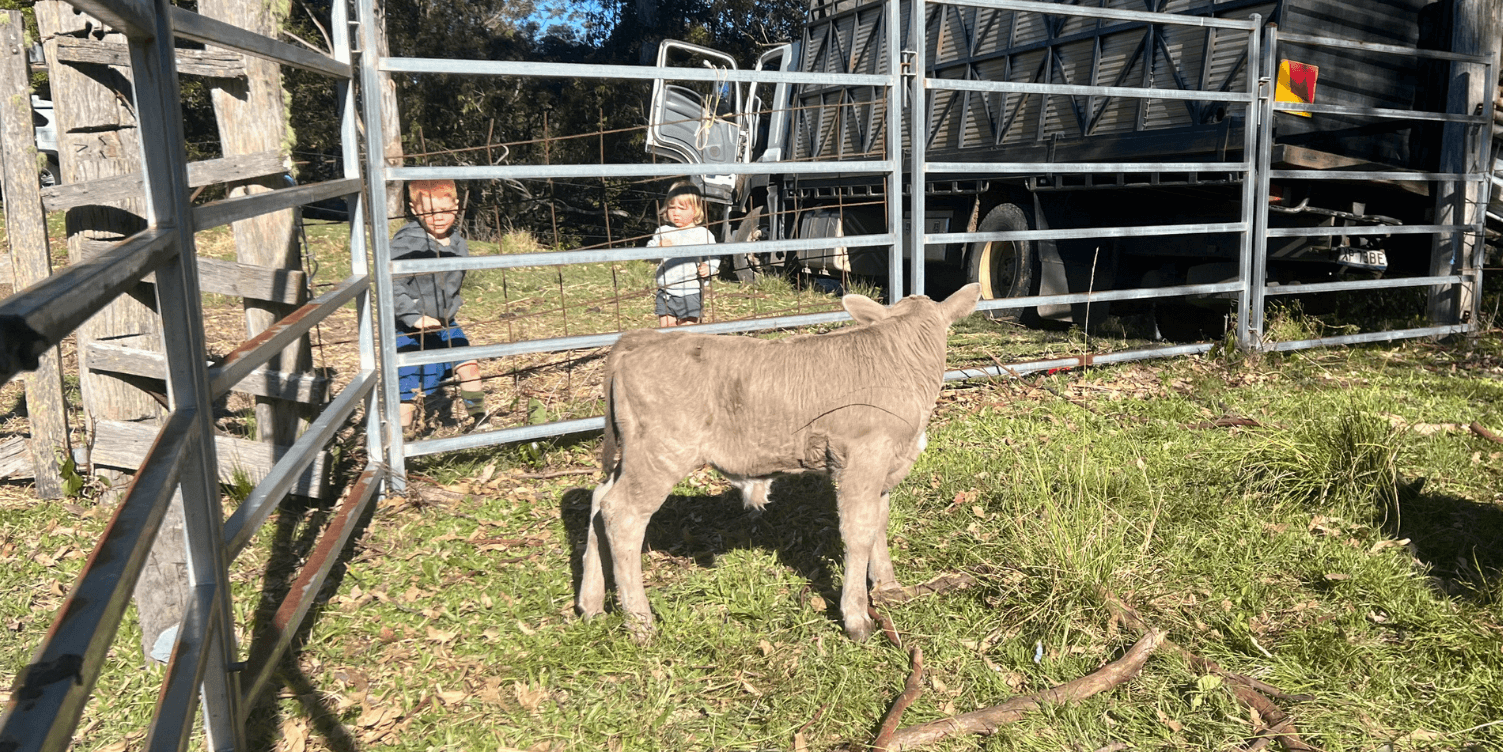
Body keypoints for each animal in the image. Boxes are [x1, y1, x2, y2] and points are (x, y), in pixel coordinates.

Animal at [577, 283, 981, 641]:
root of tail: (640, 340)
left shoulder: (887, 466)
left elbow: (879, 523)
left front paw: (888, 586)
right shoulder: (862, 458)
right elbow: (859, 530)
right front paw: (857, 617)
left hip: (633, 453)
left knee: (599, 501)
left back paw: (592, 604)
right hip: (661, 452)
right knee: (622, 514)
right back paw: (640, 624)